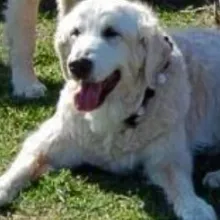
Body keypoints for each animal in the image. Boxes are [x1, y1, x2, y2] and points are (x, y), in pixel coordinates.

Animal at [1, 0, 220, 218]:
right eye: (75, 32)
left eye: (111, 33)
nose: (77, 65)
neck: (111, 116)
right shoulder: (50, 141)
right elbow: (23, 165)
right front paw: (3, 187)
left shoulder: (167, 156)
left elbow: (179, 182)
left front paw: (194, 206)